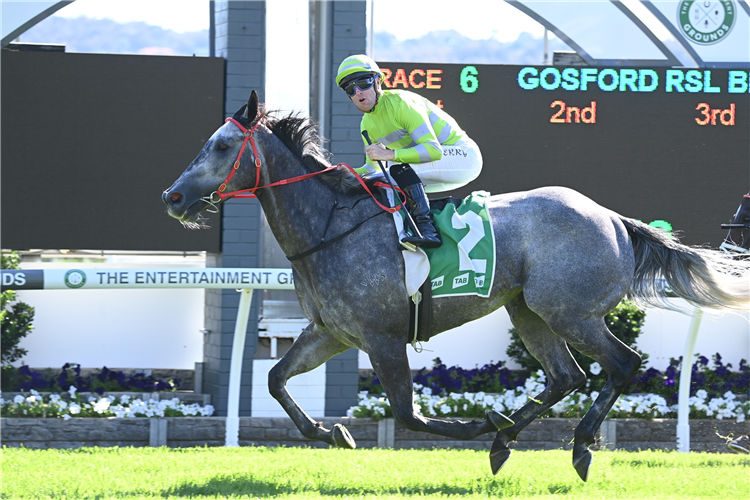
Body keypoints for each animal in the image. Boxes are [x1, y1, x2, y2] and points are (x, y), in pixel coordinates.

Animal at [164, 93, 750, 480]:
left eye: (221, 146)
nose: (172, 197)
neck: (329, 228)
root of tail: (611, 216)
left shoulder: (381, 337)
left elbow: (407, 413)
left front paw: (473, 426)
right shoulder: (330, 333)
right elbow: (275, 379)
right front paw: (333, 432)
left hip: (569, 312)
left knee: (622, 364)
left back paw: (577, 445)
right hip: (528, 310)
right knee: (567, 376)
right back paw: (505, 438)